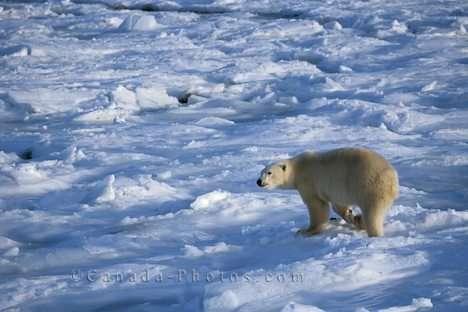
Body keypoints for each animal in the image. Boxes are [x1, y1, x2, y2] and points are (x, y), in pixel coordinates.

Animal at [256, 148, 398, 236]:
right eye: (261, 172)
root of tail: (392, 176)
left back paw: (373, 231)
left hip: (370, 186)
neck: (297, 169)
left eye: (269, 173)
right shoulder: (336, 190)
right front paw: (352, 215)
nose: (258, 182)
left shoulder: (309, 182)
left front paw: (305, 231)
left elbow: (317, 206)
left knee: (373, 213)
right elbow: (338, 205)